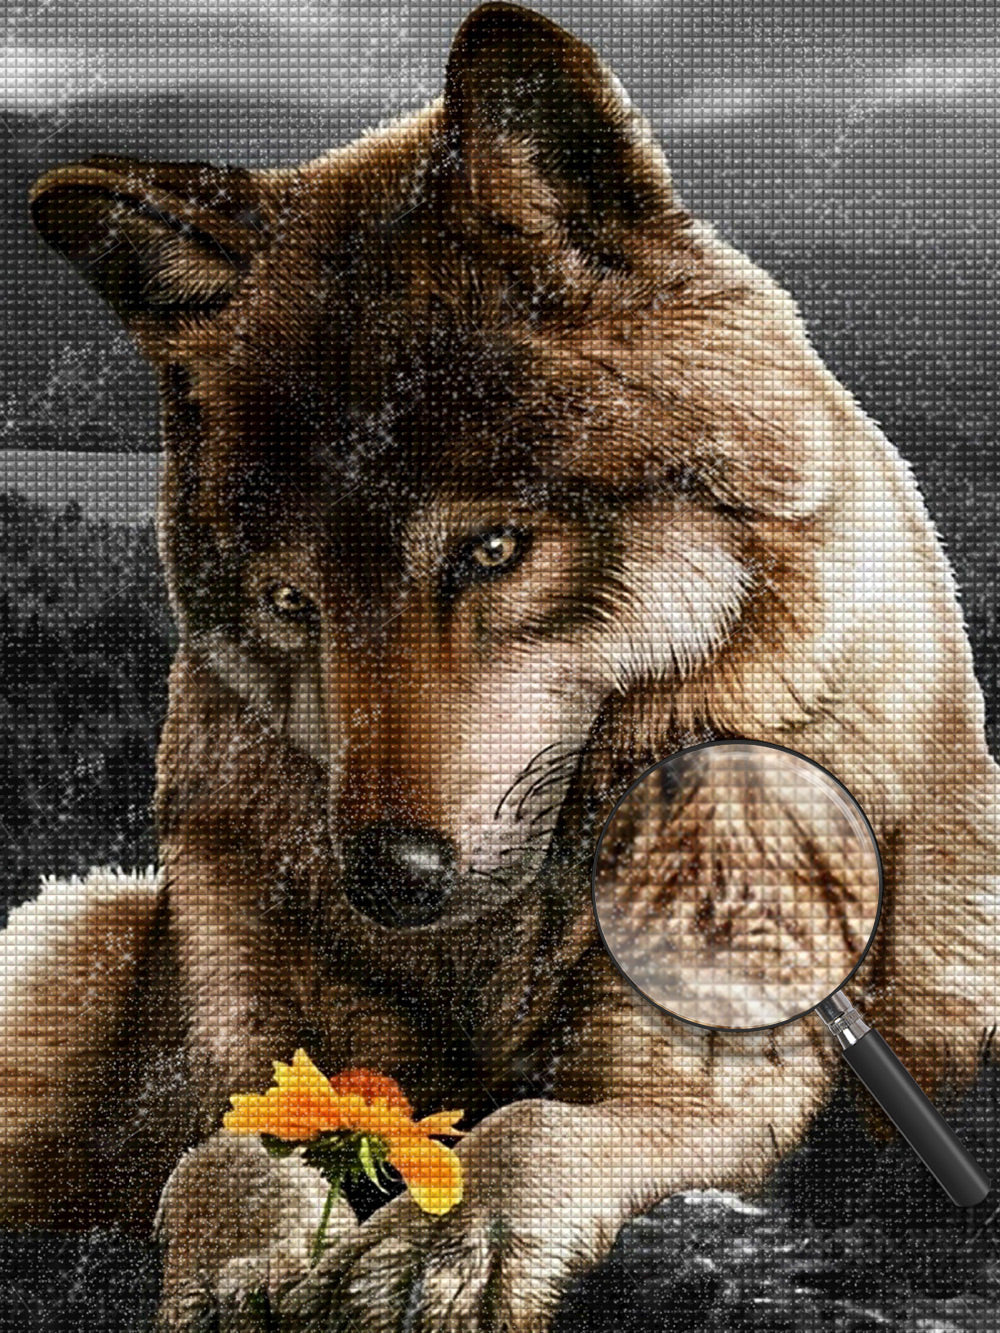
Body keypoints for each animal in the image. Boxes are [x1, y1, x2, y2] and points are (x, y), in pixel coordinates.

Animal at [4, 3, 997, 1329]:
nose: (387, 877)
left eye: (490, 548)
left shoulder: (710, 1076)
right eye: (290, 602)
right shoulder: (241, 1045)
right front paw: (240, 1258)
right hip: (63, 936)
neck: (489, 950)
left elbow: (532, 1125)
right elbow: (229, 1143)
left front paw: (446, 1238)